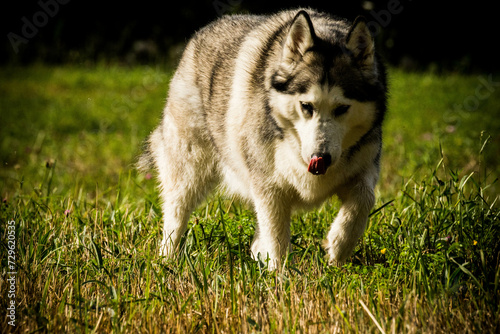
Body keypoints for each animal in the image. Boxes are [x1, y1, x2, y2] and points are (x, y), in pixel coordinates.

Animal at [139, 7, 388, 268]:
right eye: (306, 106)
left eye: (342, 109)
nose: (321, 157)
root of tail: (206, 29)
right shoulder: (269, 185)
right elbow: (276, 235)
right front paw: (282, 273)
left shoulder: (364, 166)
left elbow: (365, 199)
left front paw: (338, 246)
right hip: (189, 168)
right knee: (176, 212)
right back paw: (167, 258)